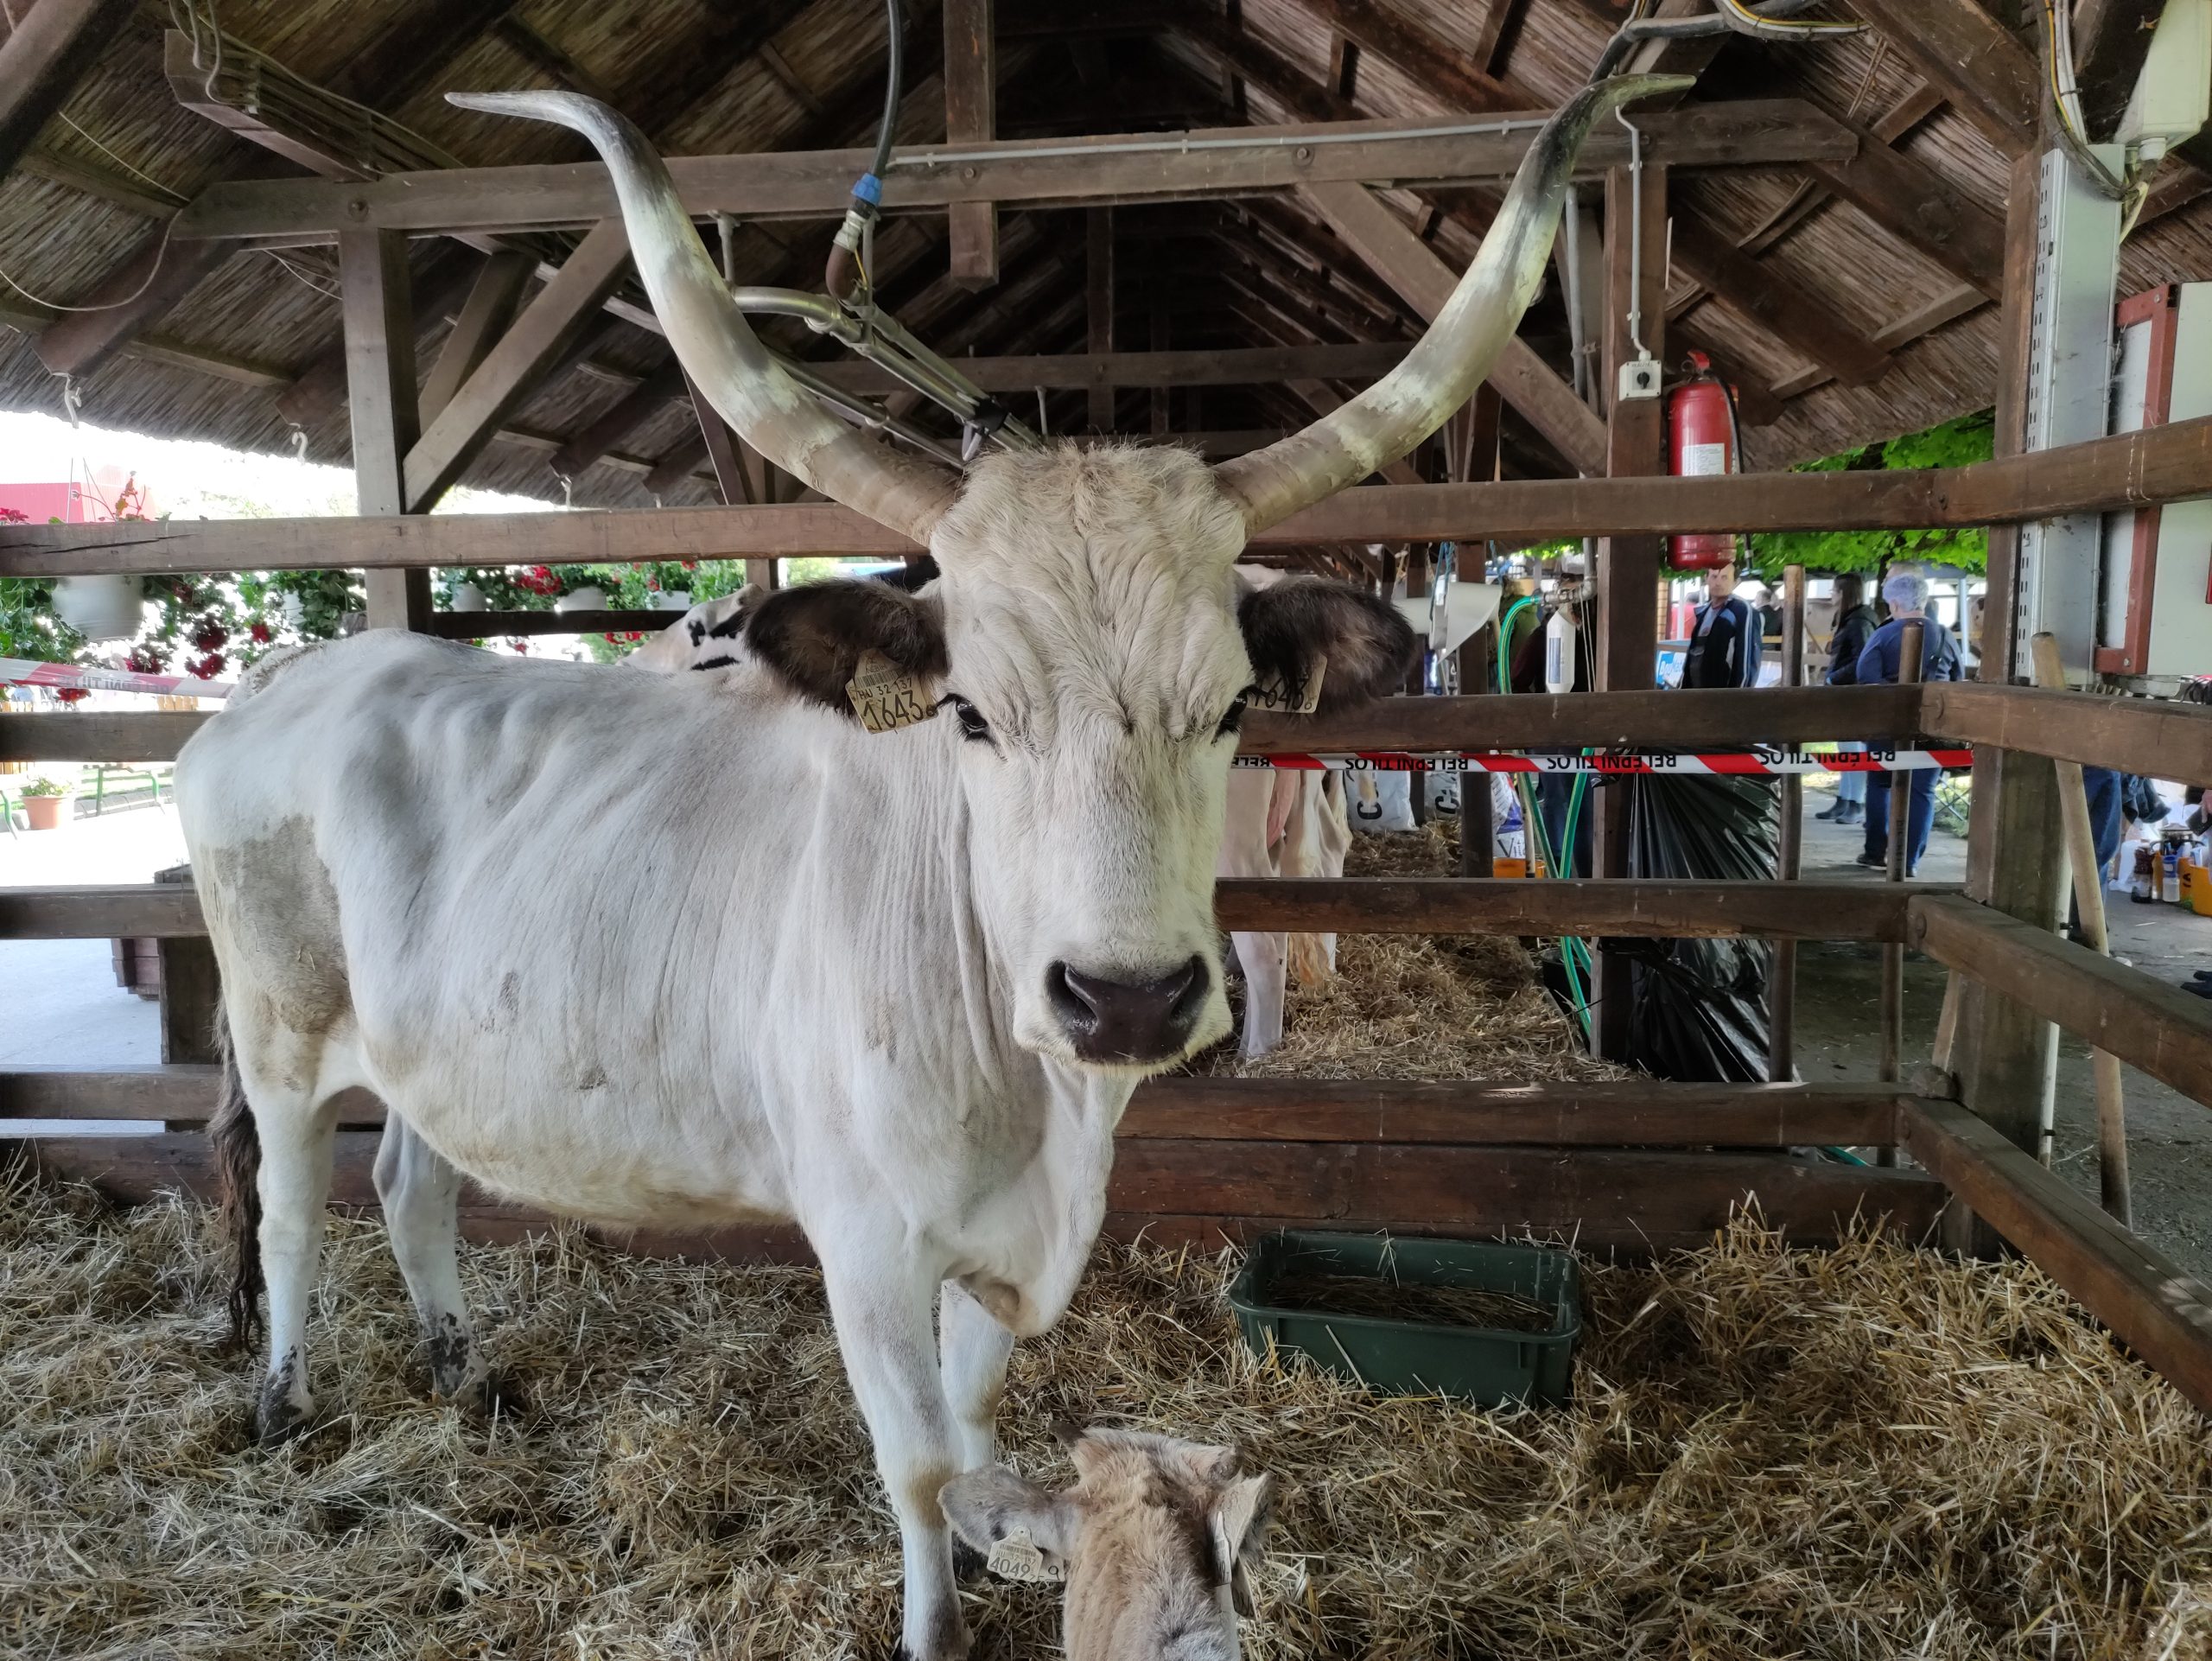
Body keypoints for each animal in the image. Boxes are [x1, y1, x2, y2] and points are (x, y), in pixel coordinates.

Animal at [181, 81, 1672, 1661]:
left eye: (1231, 708)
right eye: (968, 712)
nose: (1124, 999)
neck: (1034, 1108)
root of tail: (282, 688)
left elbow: (969, 1431)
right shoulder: (865, 1243)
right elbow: (916, 1459)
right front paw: (933, 1616)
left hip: (430, 1049)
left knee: (412, 1181)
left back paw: (461, 1365)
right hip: (280, 1034)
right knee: (289, 1205)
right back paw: (281, 1396)